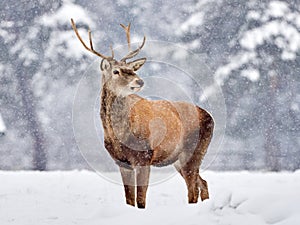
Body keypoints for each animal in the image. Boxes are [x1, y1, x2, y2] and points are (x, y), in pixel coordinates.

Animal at [71, 18, 214, 208]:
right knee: (202, 183)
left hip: (193, 151)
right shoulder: (122, 162)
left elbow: (141, 199)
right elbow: (129, 199)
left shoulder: (144, 156)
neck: (118, 134)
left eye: (132, 70)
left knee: (193, 189)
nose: (139, 81)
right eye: (116, 71)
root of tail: (211, 117)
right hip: (179, 159)